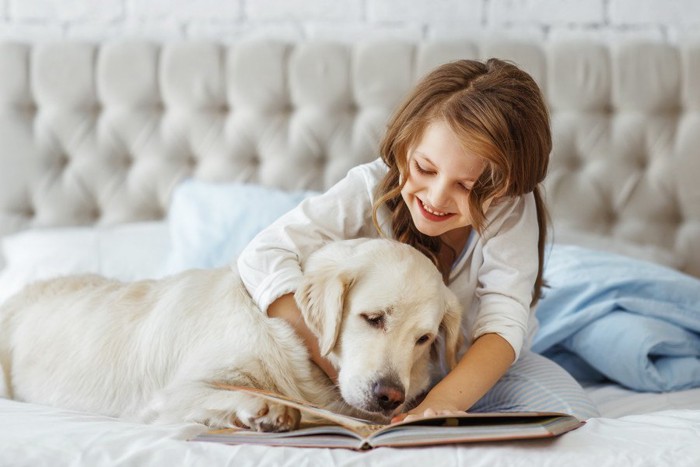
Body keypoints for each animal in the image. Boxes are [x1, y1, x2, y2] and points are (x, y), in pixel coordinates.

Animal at [0, 239, 462, 434]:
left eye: (423, 339)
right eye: (373, 318)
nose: (390, 397)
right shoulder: (171, 394)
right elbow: (231, 392)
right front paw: (264, 408)